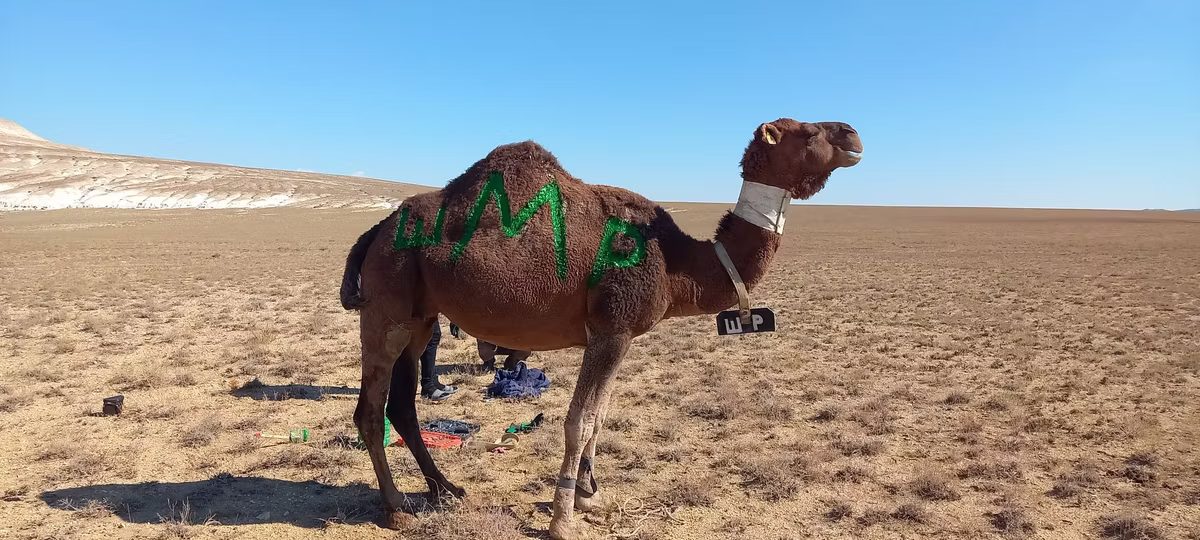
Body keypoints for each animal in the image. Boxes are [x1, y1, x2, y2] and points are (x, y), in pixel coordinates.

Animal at [339, 117, 862, 539]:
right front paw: (562, 517)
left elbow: (601, 415)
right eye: (808, 132)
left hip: (421, 317)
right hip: (386, 309)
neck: (677, 263)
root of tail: (376, 230)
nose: (853, 134)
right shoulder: (611, 329)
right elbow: (580, 420)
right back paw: (396, 508)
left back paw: (445, 488)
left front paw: (590, 494)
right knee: (370, 410)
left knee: (402, 405)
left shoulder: (619, 335)